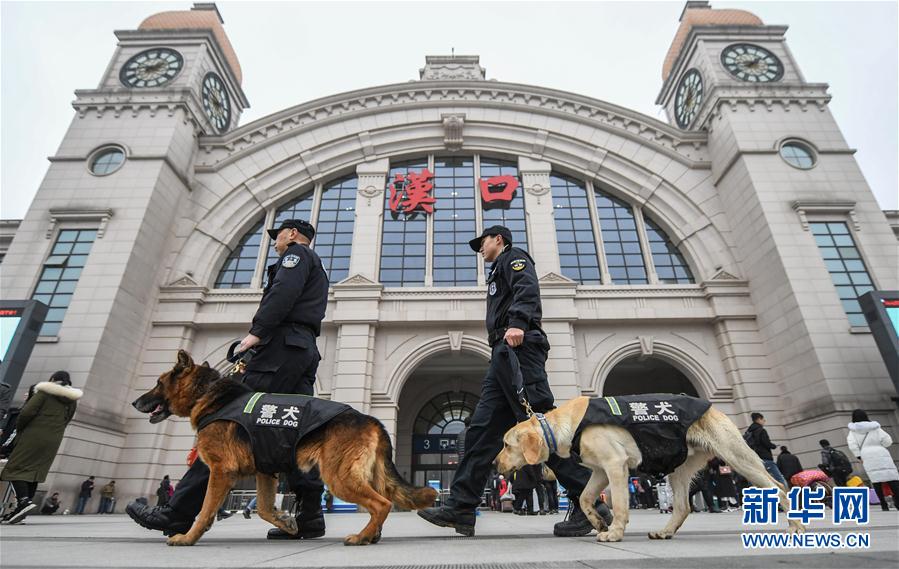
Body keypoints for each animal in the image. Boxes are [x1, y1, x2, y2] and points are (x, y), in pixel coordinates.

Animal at [134, 350, 440, 544]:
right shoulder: (265, 472)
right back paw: (370, 535)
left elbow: (205, 508)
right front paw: (287, 524)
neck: (209, 396)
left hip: (338, 477)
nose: (135, 402)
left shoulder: (221, 471)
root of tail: (370, 418)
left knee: (382, 504)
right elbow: (265, 509)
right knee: (382, 501)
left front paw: (187, 537)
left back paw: (362, 537)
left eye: (158, 383)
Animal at [496, 394, 804, 540]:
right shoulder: (600, 471)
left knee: (779, 488)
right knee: (683, 506)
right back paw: (666, 532)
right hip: (680, 467)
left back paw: (797, 525)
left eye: (507, 445)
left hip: (737, 455)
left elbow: (621, 506)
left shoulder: (615, 465)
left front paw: (614, 532)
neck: (567, 425)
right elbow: (584, 498)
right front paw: (597, 521)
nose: (494, 463)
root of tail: (714, 407)